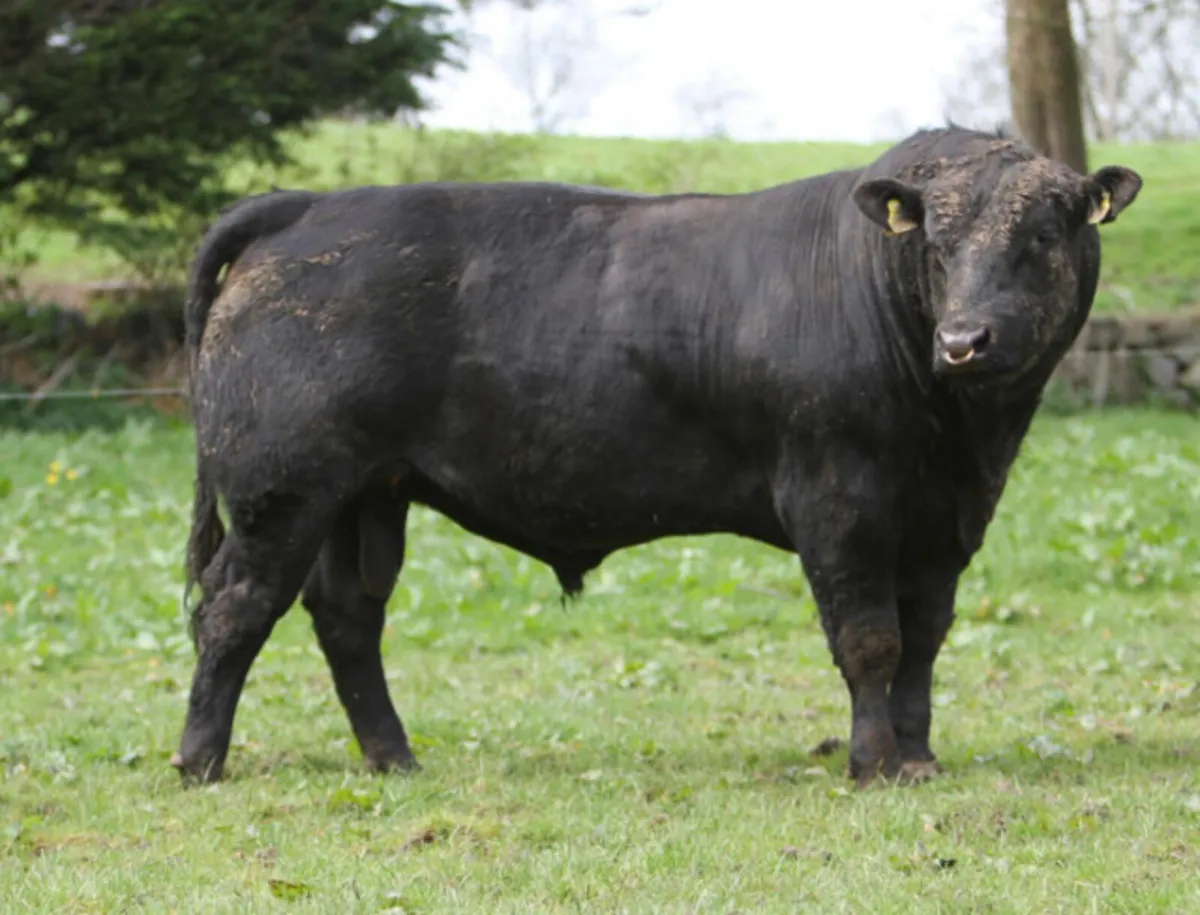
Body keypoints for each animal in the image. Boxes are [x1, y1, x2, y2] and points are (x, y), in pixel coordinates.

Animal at [172, 125, 1141, 788]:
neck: (960, 431)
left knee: (346, 615)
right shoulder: (840, 499)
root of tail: (307, 205)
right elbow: (871, 639)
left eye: (1041, 238)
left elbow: (925, 641)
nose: (965, 341)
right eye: (933, 245)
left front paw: (919, 756)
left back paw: (392, 756)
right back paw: (201, 760)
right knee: (233, 608)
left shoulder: (946, 521)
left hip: (365, 492)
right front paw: (873, 763)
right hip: (280, 488)